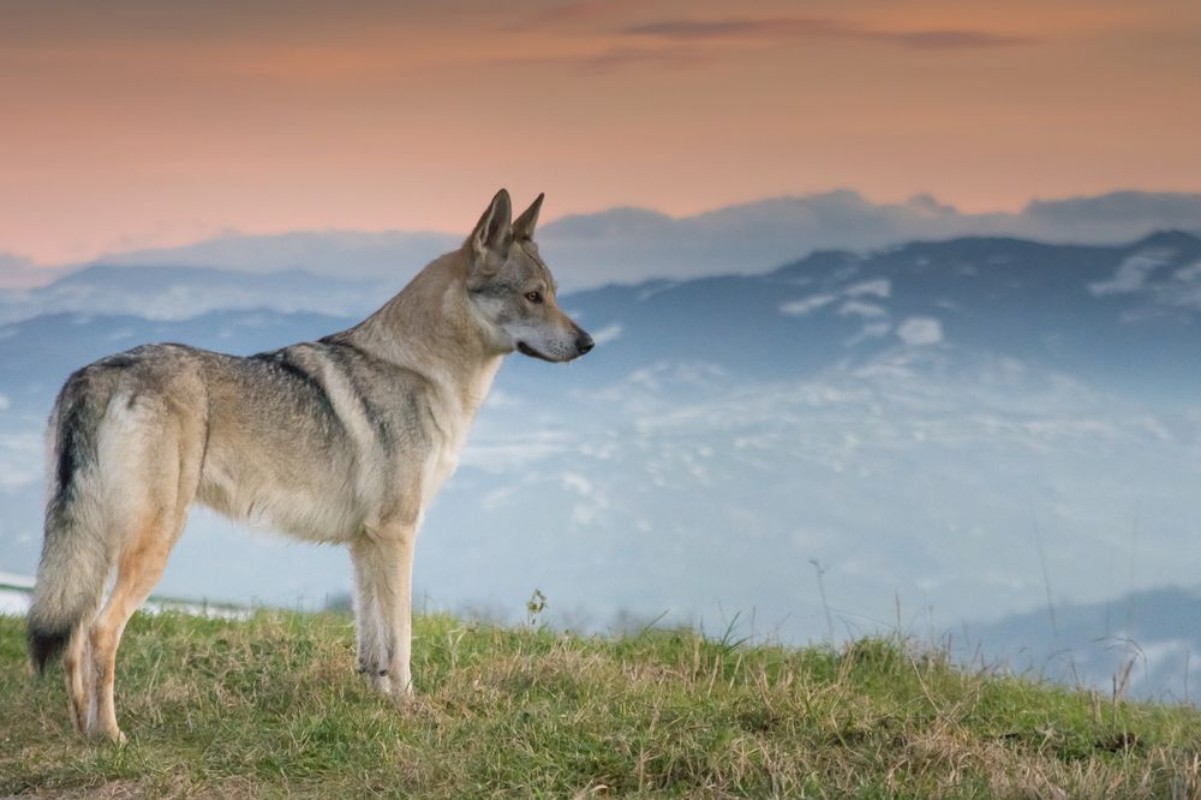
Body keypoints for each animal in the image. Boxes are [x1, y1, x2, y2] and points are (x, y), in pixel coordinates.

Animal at [26, 190, 593, 742]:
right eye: (533, 296)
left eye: (554, 293)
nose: (589, 343)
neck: (423, 370)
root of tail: (96, 375)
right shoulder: (398, 533)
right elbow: (403, 638)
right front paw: (410, 707)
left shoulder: (366, 542)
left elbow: (372, 641)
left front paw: (377, 703)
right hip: (151, 545)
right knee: (101, 631)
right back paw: (111, 737)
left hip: (97, 547)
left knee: (74, 634)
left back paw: (82, 731)